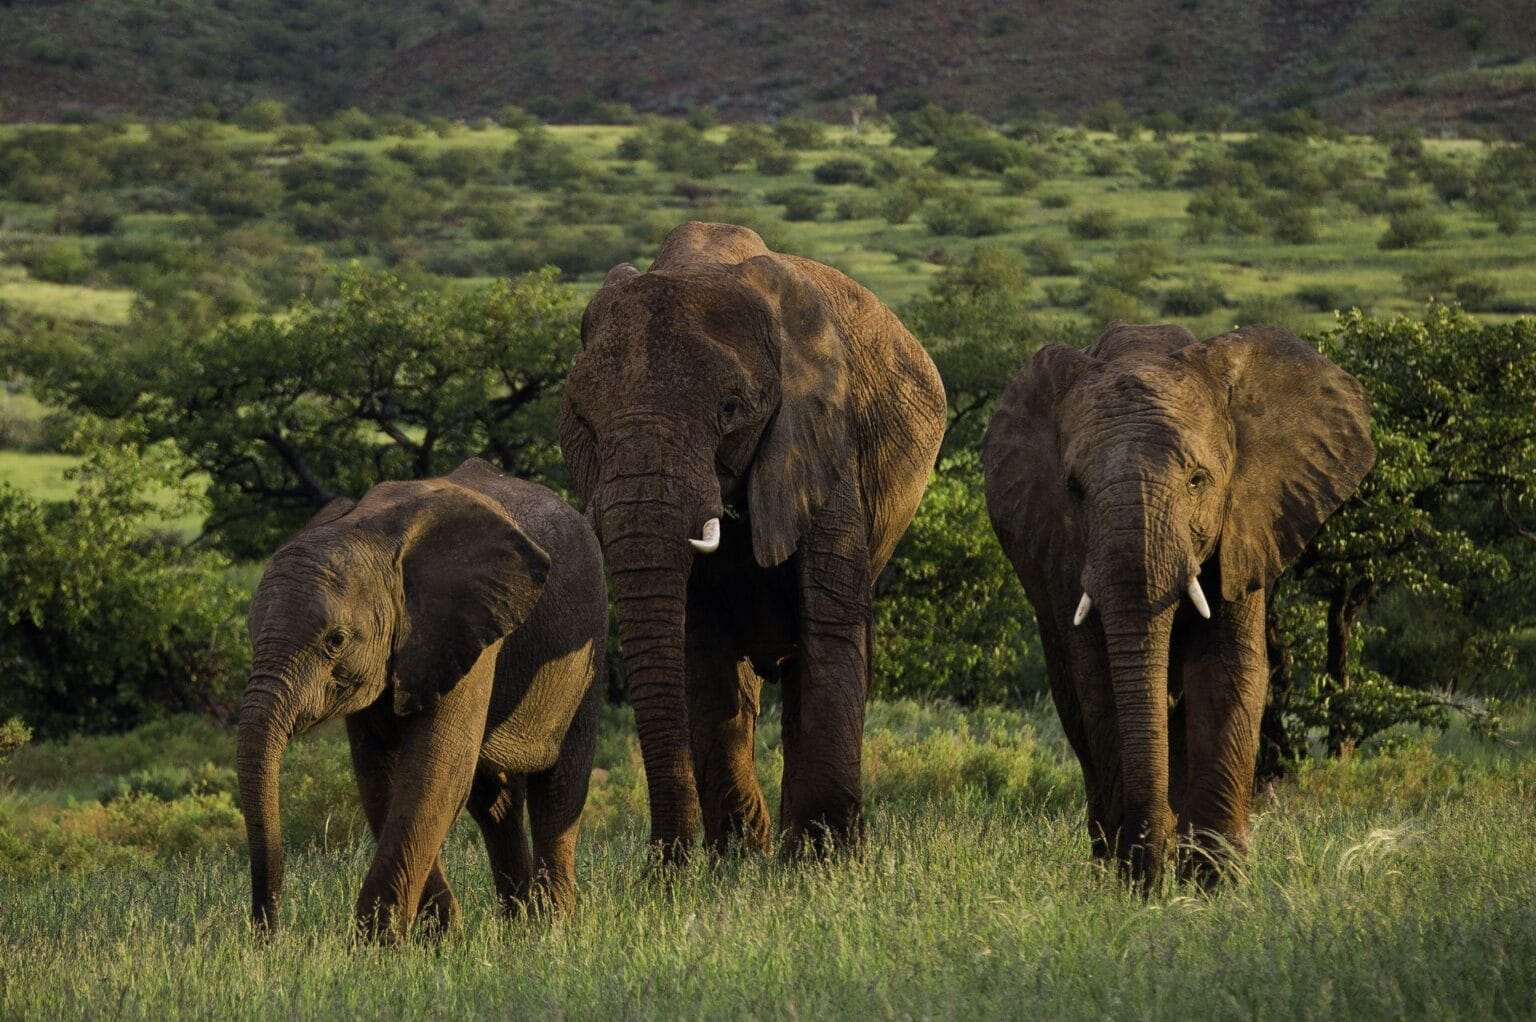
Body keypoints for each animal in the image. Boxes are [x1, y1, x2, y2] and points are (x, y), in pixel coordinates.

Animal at [236, 457, 605, 940]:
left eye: (336, 641)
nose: (268, 934)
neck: (373, 534)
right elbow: (383, 778)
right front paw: (440, 936)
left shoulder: (466, 630)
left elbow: (435, 770)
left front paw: (377, 945)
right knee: (494, 803)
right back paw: (517, 924)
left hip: (585, 650)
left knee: (558, 786)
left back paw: (550, 928)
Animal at [559, 221, 945, 860]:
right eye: (583, 421)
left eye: (730, 409)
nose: (661, 867)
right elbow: (701, 652)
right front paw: (736, 863)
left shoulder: (822, 437)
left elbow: (829, 627)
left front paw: (823, 862)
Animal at [982, 321, 1374, 886]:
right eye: (1075, 490)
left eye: (1197, 481)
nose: (1147, 872)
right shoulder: (1066, 556)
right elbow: (1100, 679)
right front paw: (1135, 880)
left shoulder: (1246, 523)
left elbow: (1227, 669)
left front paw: (1212, 885)